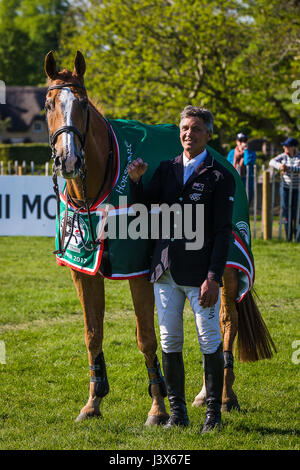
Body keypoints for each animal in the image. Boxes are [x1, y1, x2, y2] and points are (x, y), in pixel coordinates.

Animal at [44, 51, 276, 422]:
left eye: (81, 103)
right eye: (48, 104)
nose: (69, 159)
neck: (99, 188)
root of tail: (224, 160)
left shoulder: (139, 272)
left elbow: (148, 338)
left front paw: (158, 407)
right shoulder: (83, 271)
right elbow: (93, 334)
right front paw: (93, 402)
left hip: (227, 264)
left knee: (227, 322)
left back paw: (225, 396)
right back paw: (203, 394)